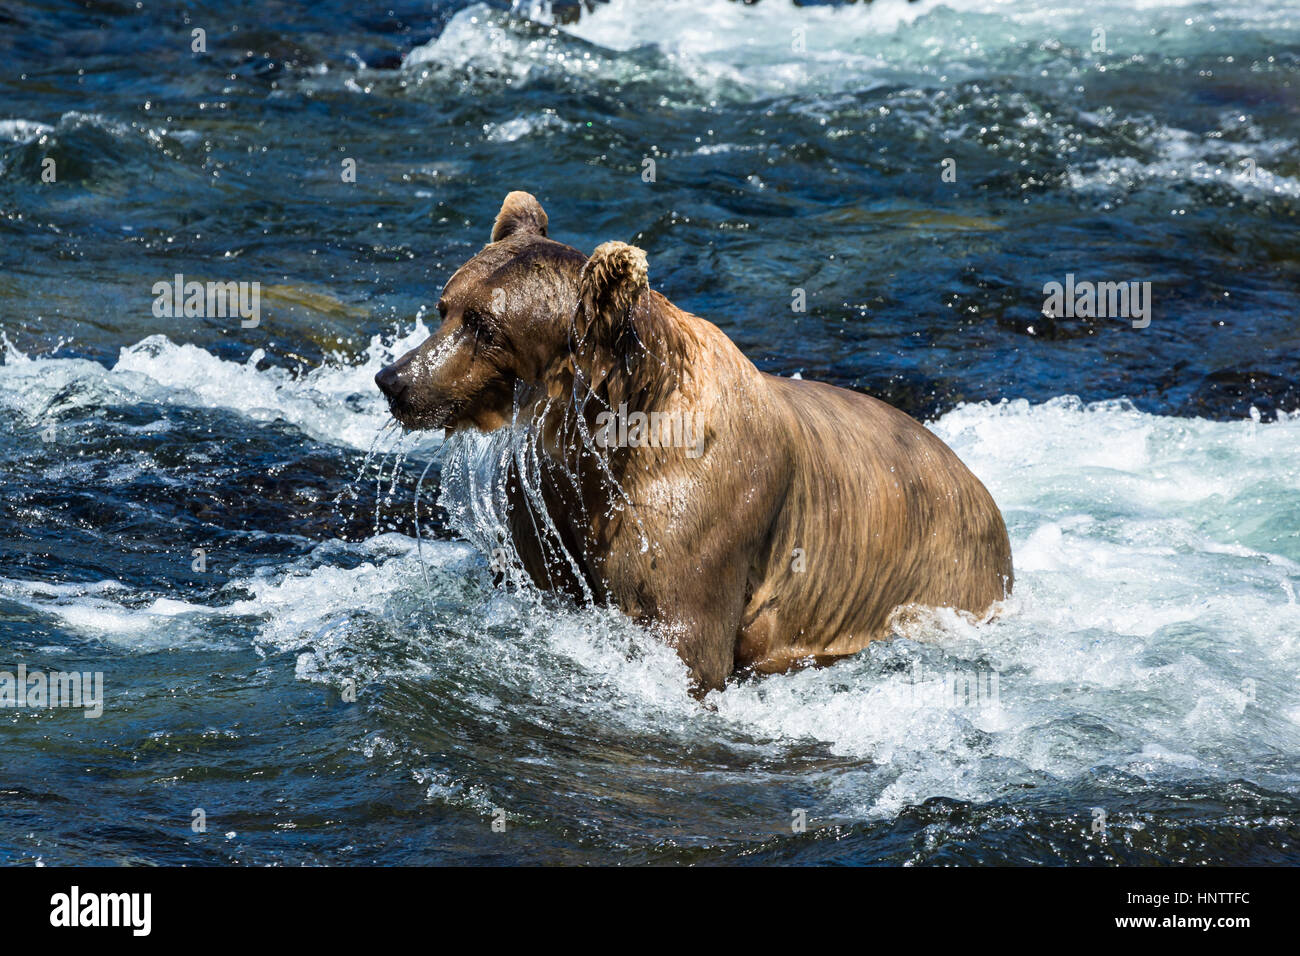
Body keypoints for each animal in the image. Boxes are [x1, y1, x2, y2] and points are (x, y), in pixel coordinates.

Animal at [377, 191, 1013, 697]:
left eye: (484, 326)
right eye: (446, 306)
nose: (395, 380)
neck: (602, 436)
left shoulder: (698, 507)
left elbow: (686, 640)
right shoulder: (551, 501)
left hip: (941, 571)